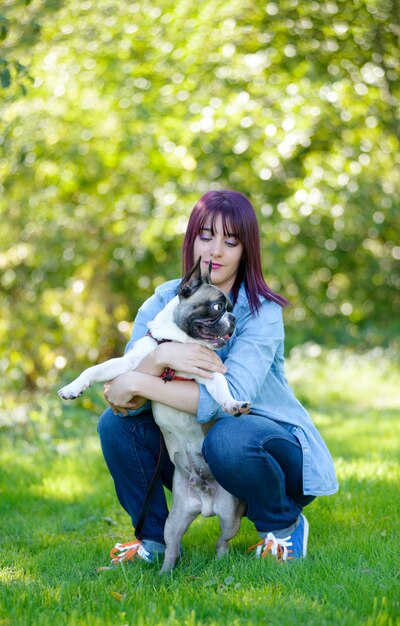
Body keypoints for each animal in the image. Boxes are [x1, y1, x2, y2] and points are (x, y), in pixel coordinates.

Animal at [58, 256, 250, 572]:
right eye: (217, 308)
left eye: (231, 308)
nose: (232, 319)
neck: (178, 343)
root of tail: (204, 503)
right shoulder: (129, 365)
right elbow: (94, 369)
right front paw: (72, 388)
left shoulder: (209, 373)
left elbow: (222, 388)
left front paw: (233, 405)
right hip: (174, 522)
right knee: (172, 546)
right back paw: (165, 572)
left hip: (229, 516)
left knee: (222, 542)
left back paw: (219, 564)